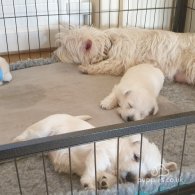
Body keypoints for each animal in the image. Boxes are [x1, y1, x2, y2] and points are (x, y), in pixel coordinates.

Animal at [14, 113, 177, 190]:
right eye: (136, 157)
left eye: (148, 176)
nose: (131, 178)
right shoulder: (98, 153)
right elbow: (95, 168)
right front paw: (89, 183)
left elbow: (108, 176)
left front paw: (105, 181)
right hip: (42, 129)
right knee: (27, 136)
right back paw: (17, 143)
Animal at [54, 25, 195, 84]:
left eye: (65, 48)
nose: (55, 54)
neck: (110, 42)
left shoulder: (119, 61)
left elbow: (104, 65)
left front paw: (86, 68)